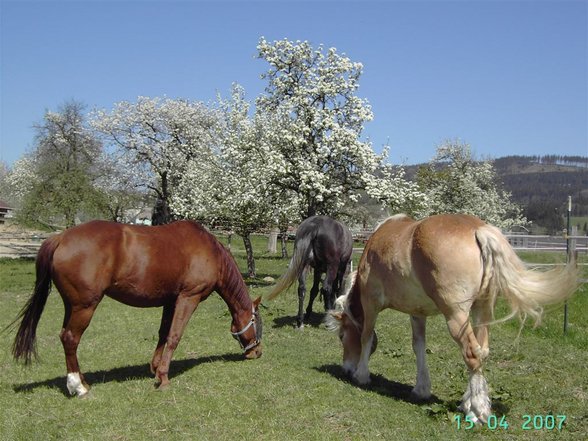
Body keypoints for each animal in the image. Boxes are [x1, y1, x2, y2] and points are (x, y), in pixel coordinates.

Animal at [8, 220, 262, 396]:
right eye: (257, 323)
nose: (257, 352)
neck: (210, 251)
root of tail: (60, 237)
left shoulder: (170, 300)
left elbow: (163, 333)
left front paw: (156, 368)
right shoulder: (188, 298)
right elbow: (175, 336)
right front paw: (164, 378)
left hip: (71, 305)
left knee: (65, 337)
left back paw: (82, 381)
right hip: (84, 306)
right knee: (71, 338)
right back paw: (78, 387)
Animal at [326, 213, 580, 422]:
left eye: (341, 336)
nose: (346, 369)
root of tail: (478, 230)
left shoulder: (371, 304)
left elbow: (366, 337)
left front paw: (361, 375)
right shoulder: (417, 313)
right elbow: (418, 346)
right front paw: (421, 389)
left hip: (456, 317)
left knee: (472, 354)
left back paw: (477, 410)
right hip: (482, 311)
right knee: (482, 351)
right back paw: (470, 401)